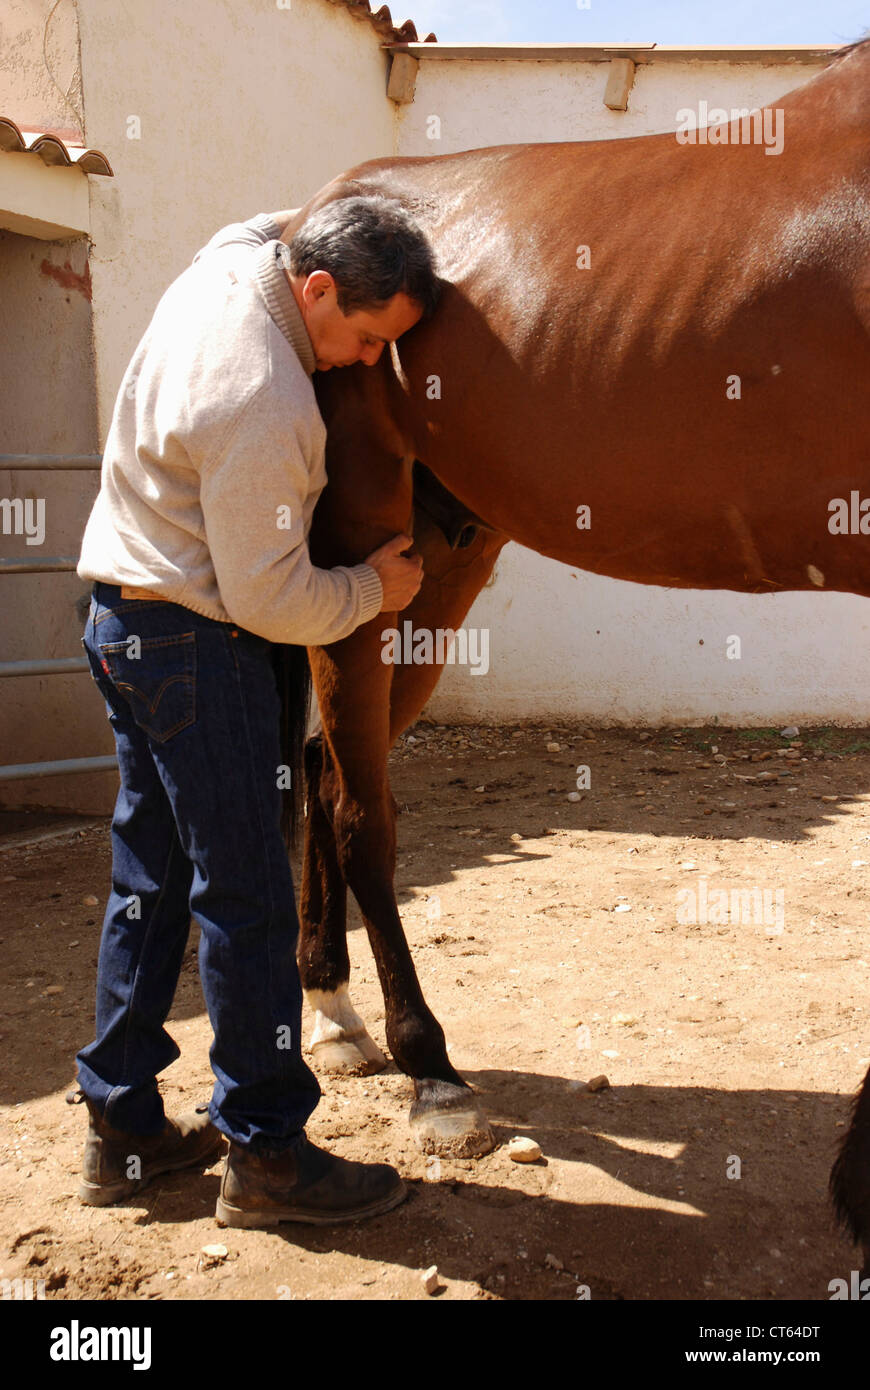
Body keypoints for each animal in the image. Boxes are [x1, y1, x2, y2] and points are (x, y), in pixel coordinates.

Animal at [276, 40, 867, 1262]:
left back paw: (335, 1012)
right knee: (359, 806)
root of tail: (308, 222)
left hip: (438, 562)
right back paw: (432, 1073)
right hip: (358, 550)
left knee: (325, 763)